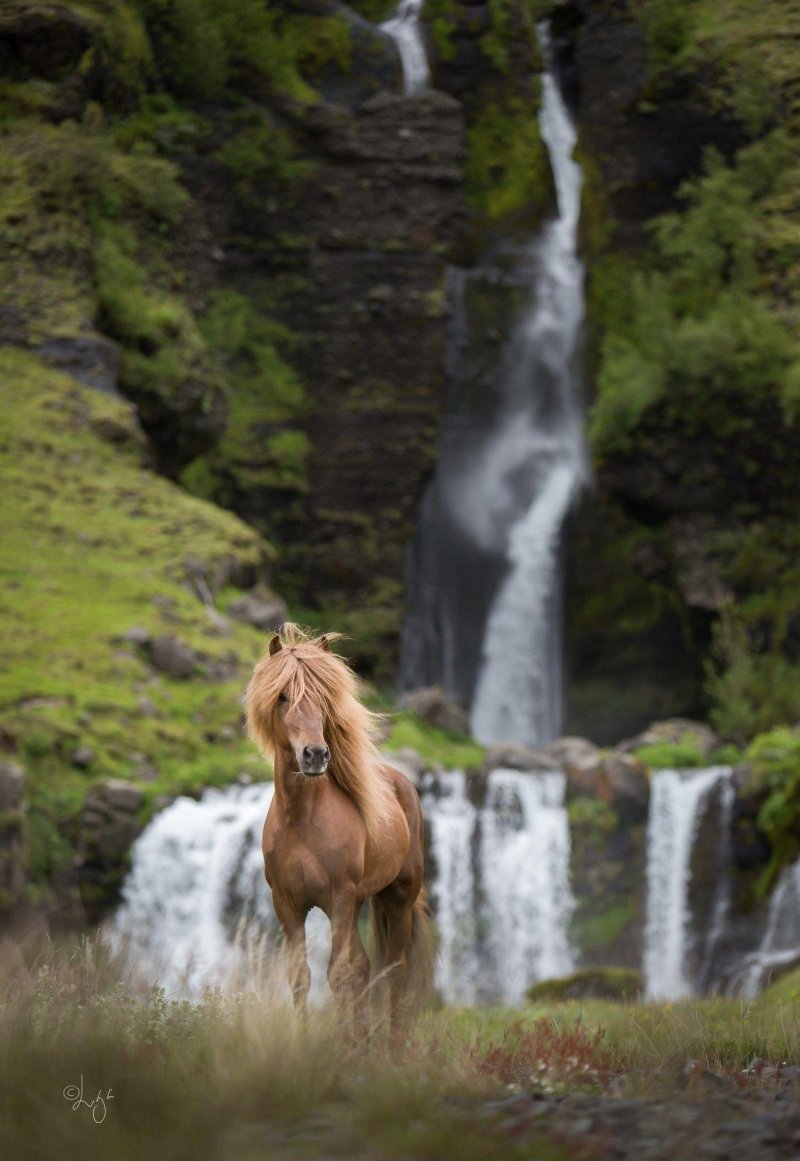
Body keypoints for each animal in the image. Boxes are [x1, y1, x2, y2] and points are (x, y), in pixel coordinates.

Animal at [243, 626, 429, 1044]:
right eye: (282, 696)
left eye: (323, 696)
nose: (315, 755)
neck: (302, 821)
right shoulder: (288, 905)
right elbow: (302, 976)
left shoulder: (340, 899)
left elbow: (339, 973)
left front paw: (344, 1051)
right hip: (359, 903)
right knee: (364, 965)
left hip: (397, 900)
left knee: (394, 967)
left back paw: (392, 1046)